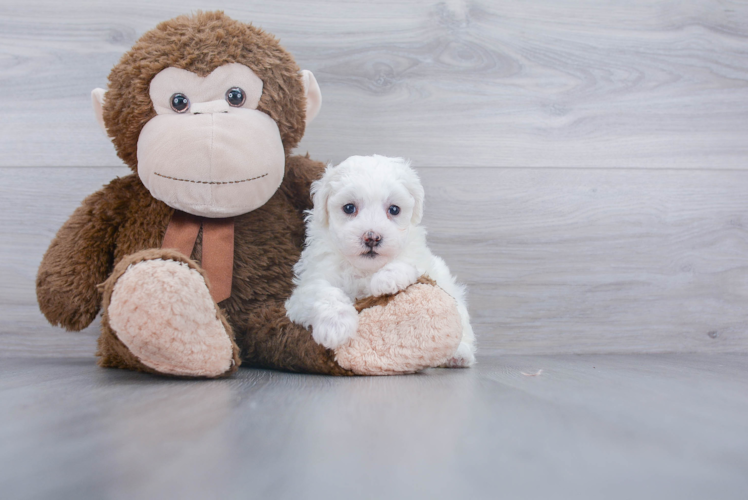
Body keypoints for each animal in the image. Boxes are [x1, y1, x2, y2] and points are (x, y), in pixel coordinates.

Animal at [284, 155, 476, 368]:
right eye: (349, 208)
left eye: (394, 209)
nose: (372, 237)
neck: (364, 269)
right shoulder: (307, 287)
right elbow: (324, 292)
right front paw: (335, 325)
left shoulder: (421, 259)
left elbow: (409, 264)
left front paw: (387, 278)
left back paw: (459, 354)